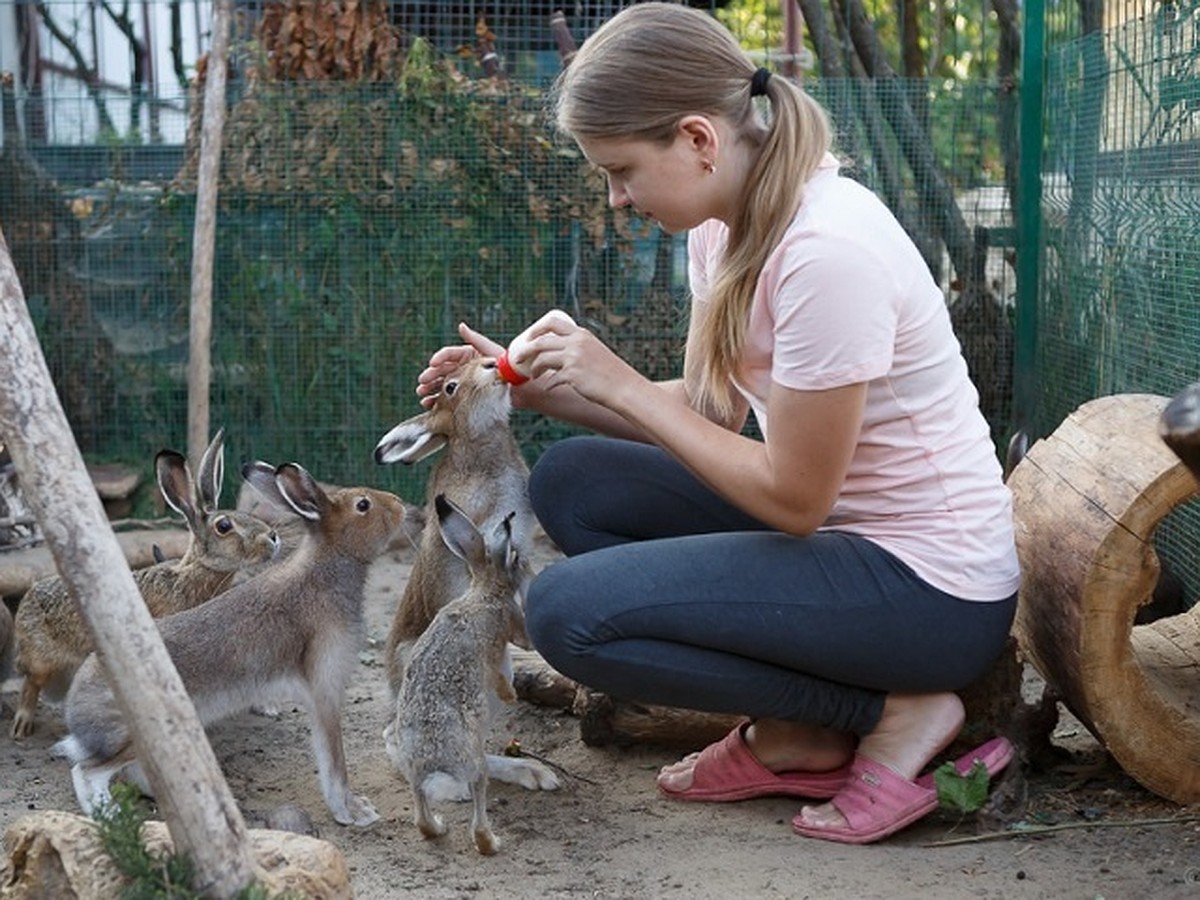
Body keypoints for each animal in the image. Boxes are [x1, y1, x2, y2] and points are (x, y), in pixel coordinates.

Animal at [11, 432, 278, 739]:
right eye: (224, 526)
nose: (273, 537)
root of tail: (27, 599)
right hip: (40, 659)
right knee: (31, 684)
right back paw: (22, 726)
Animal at [56, 465, 417, 830]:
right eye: (363, 505)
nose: (400, 504)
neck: (330, 562)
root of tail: (74, 707)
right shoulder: (324, 691)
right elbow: (333, 763)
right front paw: (354, 813)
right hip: (138, 735)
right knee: (86, 772)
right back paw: (111, 816)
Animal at [384, 496, 535, 854]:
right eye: (514, 558)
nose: (524, 564)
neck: (484, 590)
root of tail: (435, 761)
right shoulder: (506, 629)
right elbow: (505, 662)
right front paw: (510, 694)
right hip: (476, 767)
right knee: (478, 807)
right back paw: (491, 842)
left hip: (416, 776)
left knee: (421, 814)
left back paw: (437, 828)